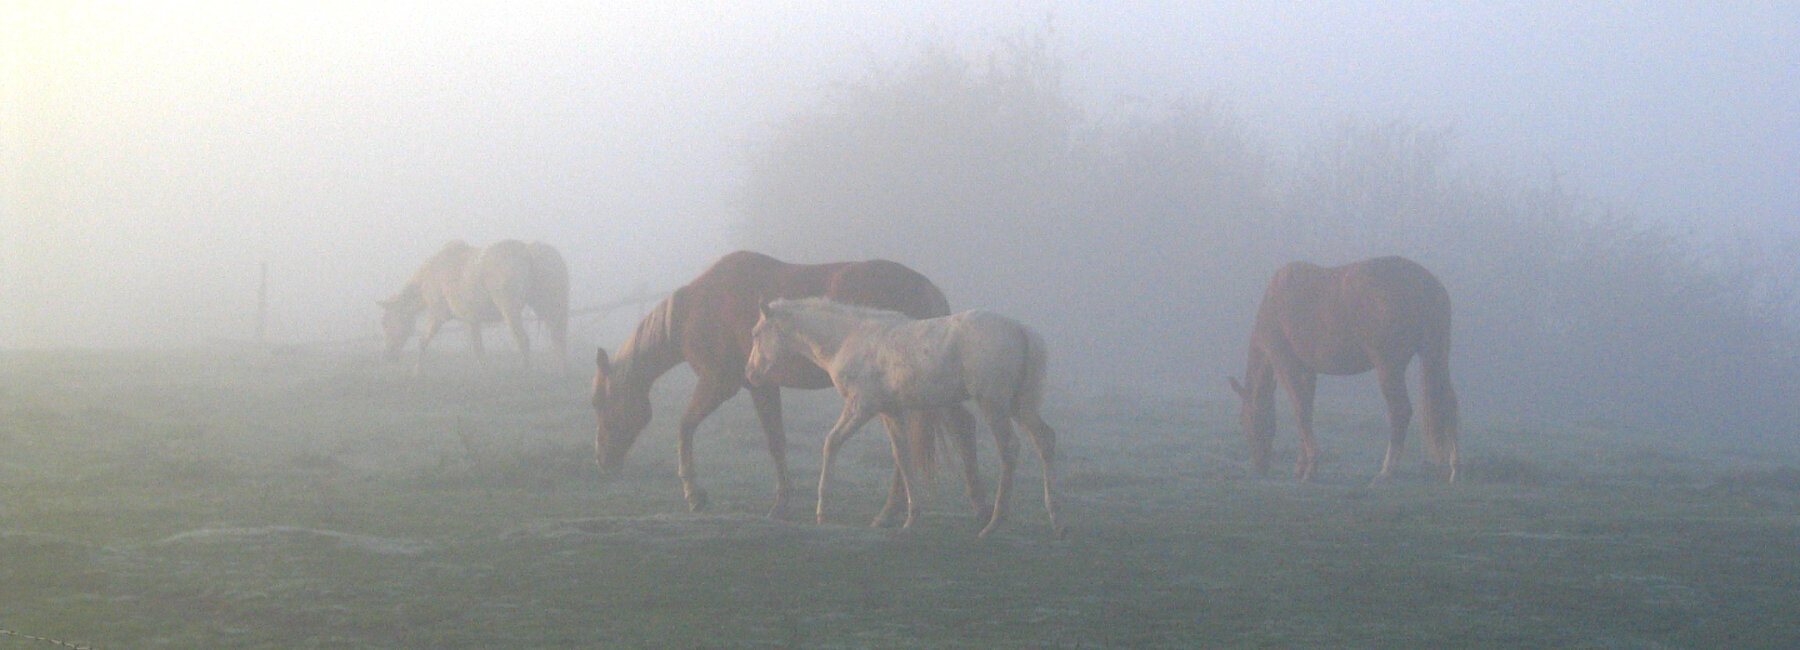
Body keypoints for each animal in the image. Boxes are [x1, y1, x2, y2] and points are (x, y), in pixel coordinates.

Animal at [379, 239, 570, 373]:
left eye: (385, 323)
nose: (388, 357)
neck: (430, 274)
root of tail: (527, 251)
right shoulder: (472, 320)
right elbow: (478, 348)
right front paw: (485, 372)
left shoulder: (438, 316)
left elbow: (423, 341)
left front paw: (417, 371)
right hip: (547, 308)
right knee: (557, 339)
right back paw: (560, 371)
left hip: (511, 311)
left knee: (523, 340)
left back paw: (524, 371)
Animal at [591, 250, 987, 525]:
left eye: (598, 403)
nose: (603, 462)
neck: (697, 309)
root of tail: (930, 291)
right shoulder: (760, 386)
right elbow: (776, 440)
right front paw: (782, 503)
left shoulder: (719, 384)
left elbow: (686, 425)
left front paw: (694, 493)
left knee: (950, 430)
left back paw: (955, 506)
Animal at [746, 297, 1063, 538]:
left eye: (756, 333)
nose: (751, 374)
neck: (848, 339)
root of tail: (1022, 329)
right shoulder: (891, 411)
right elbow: (903, 455)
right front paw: (911, 517)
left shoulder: (861, 406)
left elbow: (831, 443)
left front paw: (822, 511)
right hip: (1020, 405)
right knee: (1045, 440)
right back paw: (1054, 517)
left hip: (993, 404)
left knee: (1009, 448)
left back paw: (994, 523)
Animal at [1228, 255, 1459, 484]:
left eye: (1243, 420)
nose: (1259, 467)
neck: (1273, 304)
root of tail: (1427, 285)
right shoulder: (1307, 371)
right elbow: (1305, 410)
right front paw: (1303, 465)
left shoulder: (1287, 365)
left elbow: (1301, 413)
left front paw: (1311, 467)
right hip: (1436, 357)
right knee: (1449, 405)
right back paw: (1453, 469)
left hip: (1389, 367)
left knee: (1400, 411)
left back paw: (1387, 471)